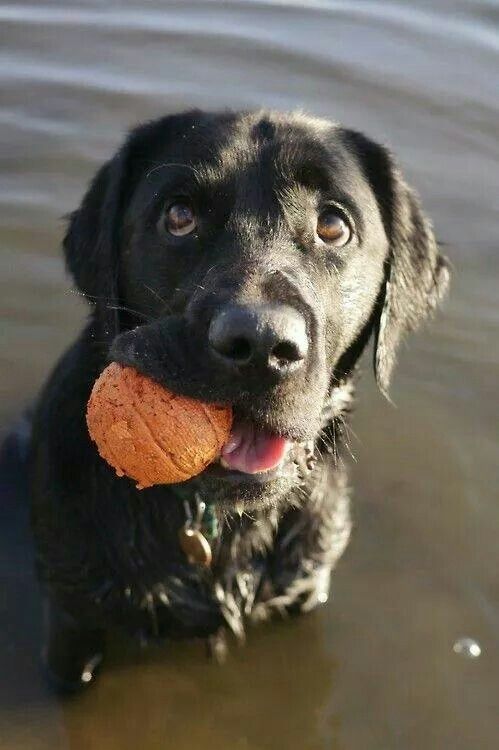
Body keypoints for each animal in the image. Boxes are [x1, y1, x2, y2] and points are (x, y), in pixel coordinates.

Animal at [28, 110, 450, 692]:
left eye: (333, 225)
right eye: (179, 216)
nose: (260, 344)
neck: (221, 527)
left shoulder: (305, 586)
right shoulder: (72, 620)